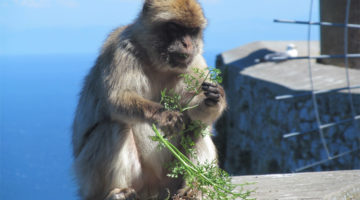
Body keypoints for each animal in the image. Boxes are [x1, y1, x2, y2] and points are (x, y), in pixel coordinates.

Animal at [71, 0, 226, 199]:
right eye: (174, 28)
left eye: (192, 31)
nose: (187, 44)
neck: (157, 63)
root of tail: (155, 191)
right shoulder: (122, 50)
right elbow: (116, 99)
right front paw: (166, 115)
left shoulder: (195, 61)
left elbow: (198, 115)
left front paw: (214, 98)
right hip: (91, 178)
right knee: (115, 125)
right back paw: (118, 191)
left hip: (170, 179)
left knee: (198, 126)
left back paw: (194, 187)